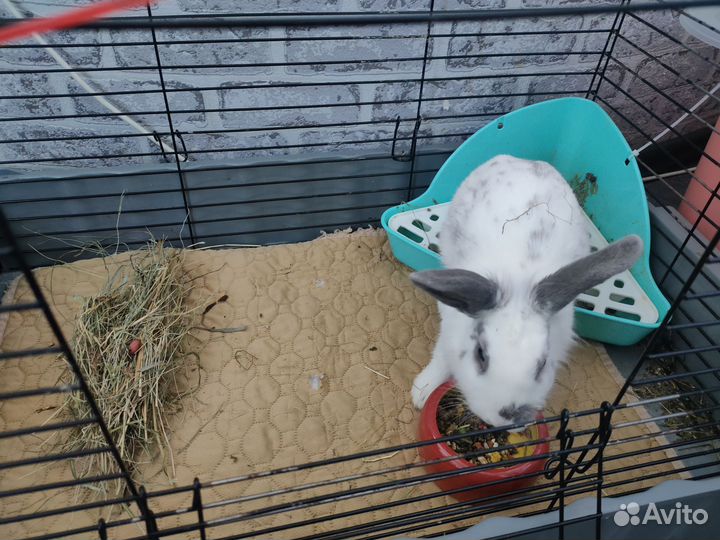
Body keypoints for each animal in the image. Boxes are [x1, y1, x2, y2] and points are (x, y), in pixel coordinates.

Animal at [410, 154, 643, 428]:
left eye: (542, 365)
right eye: (481, 355)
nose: (503, 418)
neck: (518, 283)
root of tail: (523, 160)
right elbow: (441, 356)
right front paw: (421, 392)